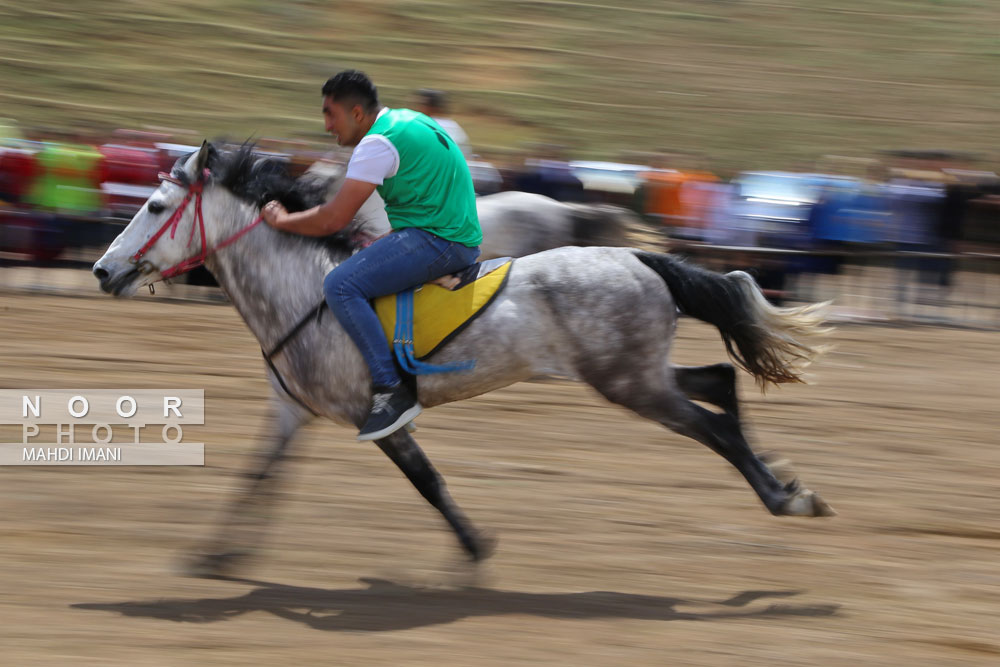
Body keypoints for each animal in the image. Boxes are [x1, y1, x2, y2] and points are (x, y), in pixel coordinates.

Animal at [94, 144, 832, 576]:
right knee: (721, 380)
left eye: (154, 206)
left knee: (714, 424)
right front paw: (215, 555)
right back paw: (783, 481)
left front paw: (474, 546)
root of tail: (638, 257)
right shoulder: (292, 410)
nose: (102, 270)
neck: (303, 287)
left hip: (631, 383)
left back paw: (784, 497)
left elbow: (428, 481)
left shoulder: (377, 415)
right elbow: (257, 475)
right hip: (636, 372)